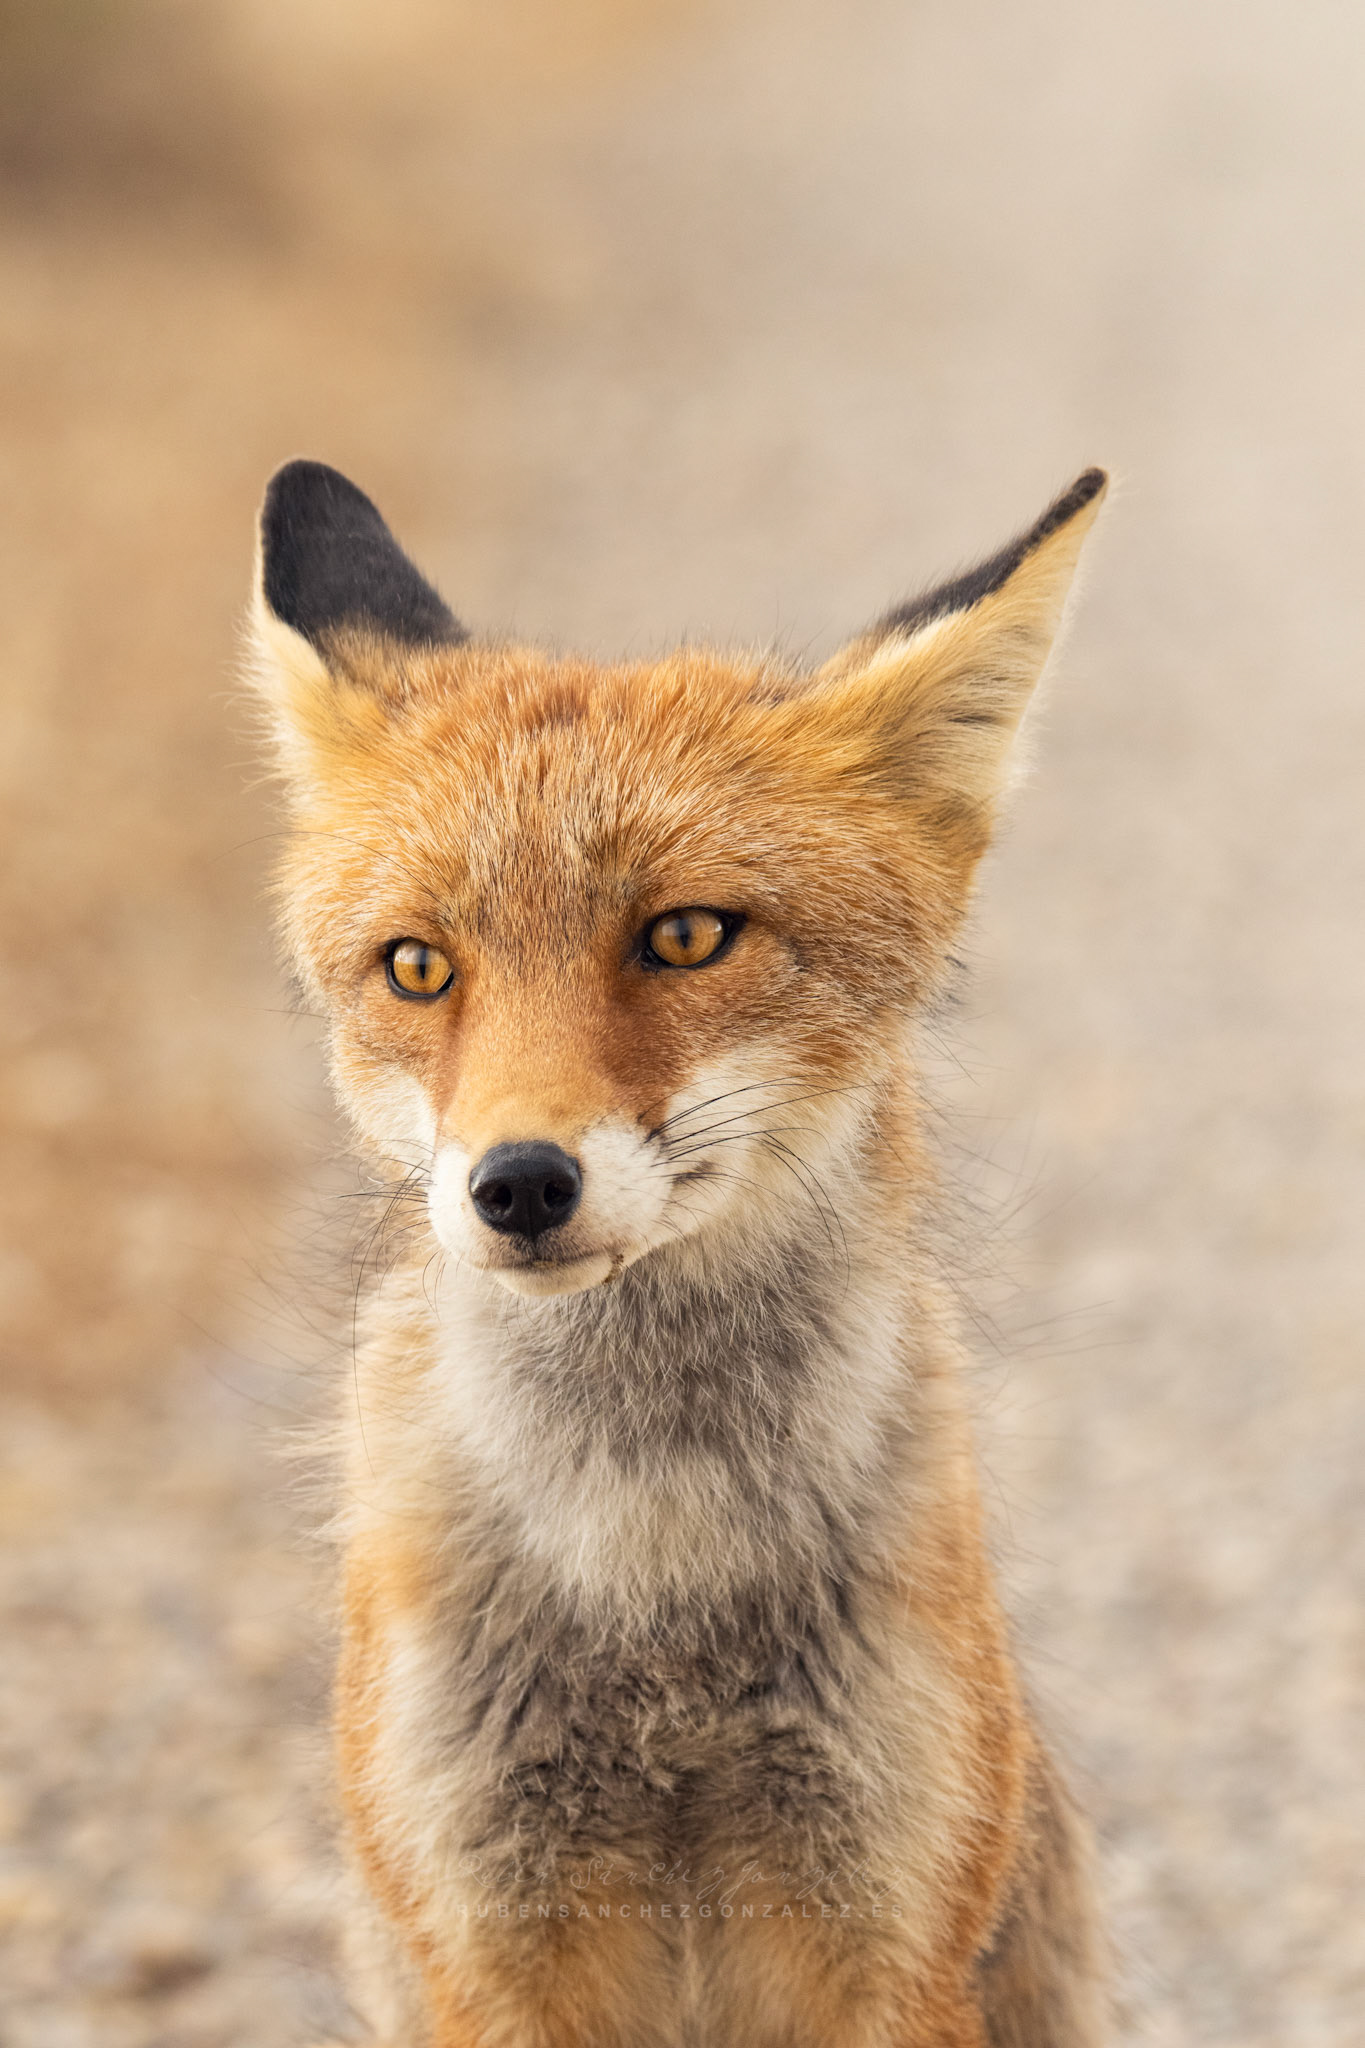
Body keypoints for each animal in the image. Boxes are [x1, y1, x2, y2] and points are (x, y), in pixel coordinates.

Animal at [247, 457, 1110, 2047]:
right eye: (418, 966)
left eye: (689, 935)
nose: (518, 1184)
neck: (656, 1579)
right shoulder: (488, 1930)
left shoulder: (890, 1924)